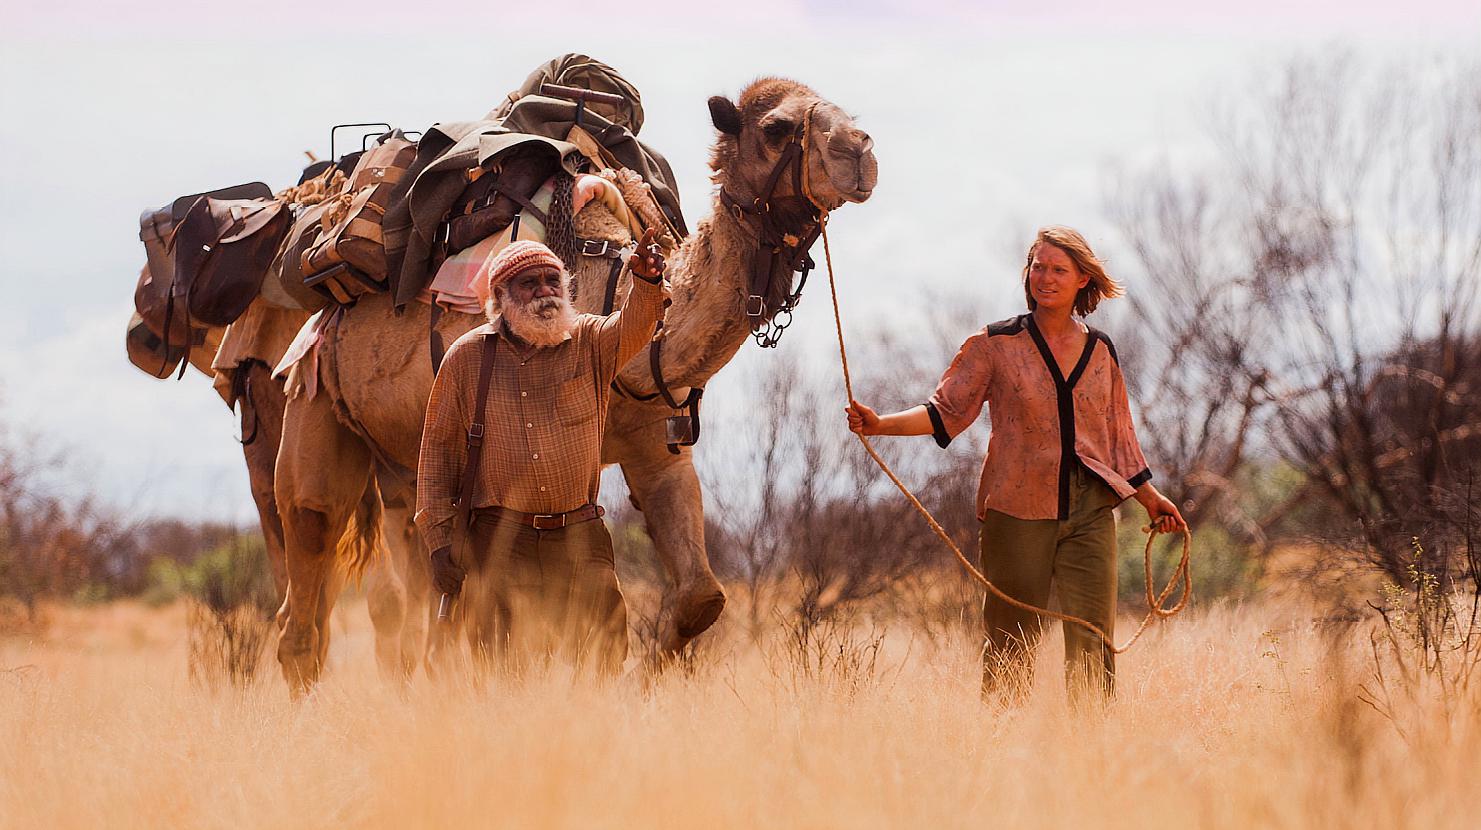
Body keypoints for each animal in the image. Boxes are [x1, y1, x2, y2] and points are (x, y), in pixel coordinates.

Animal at [275, 77, 876, 690]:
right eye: (777, 128)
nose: (860, 152)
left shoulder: (655, 446)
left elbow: (700, 597)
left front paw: (642, 680)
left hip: (400, 466)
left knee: (407, 583)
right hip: (314, 399)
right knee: (310, 552)